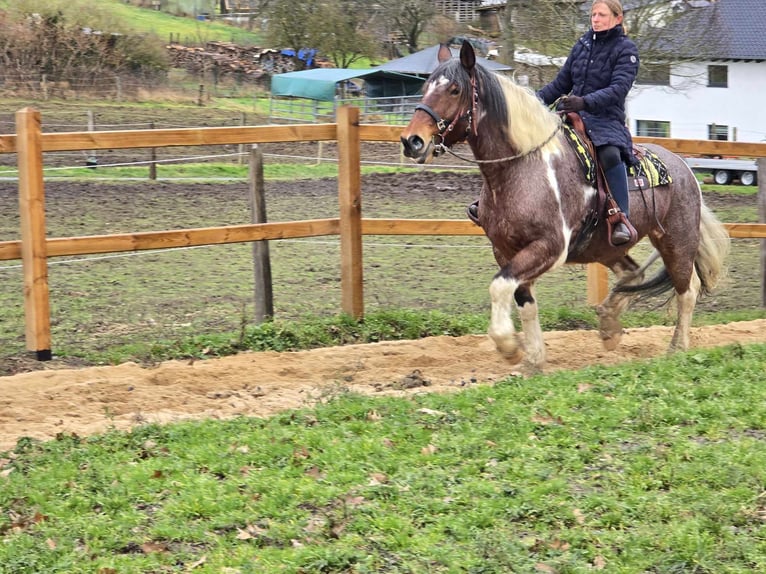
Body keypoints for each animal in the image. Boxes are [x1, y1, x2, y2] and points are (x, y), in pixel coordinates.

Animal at [402, 42, 732, 372]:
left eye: (455, 89)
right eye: (425, 87)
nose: (412, 141)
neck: (522, 167)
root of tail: (684, 168)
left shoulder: (549, 247)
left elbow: (500, 286)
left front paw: (509, 347)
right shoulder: (505, 250)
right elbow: (523, 300)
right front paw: (533, 359)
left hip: (677, 241)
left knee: (686, 290)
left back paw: (677, 348)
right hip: (606, 247)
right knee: (633, 274)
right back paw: (609, 325)